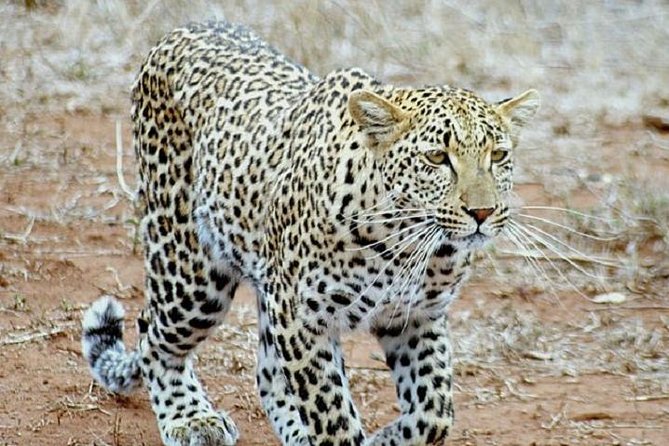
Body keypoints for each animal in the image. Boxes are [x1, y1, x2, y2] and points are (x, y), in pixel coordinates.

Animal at [82, 20, 539, 446]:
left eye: (498, 155)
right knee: (154, 335)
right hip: (191, 272)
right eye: (437, 158)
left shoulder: (416, 316)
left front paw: (381, 440)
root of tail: (183, 28)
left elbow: (433, 413)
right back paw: (191, 419)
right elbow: (331, 414)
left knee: (266, 372)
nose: (482, 211)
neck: (407, 241)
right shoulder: (302, 319)